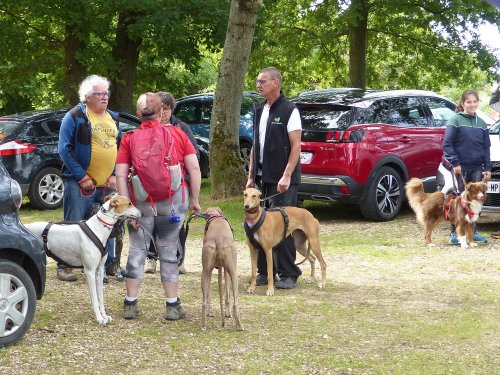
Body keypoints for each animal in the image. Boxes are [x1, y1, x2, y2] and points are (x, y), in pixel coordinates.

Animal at [26, 195, 142, 324]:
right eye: (129, 203)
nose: (141, 213)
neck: (97, 228)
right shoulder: (90, 272)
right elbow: (95, 299)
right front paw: (99, 318)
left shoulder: (99, 271)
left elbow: (100, 298)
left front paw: (105, 316)